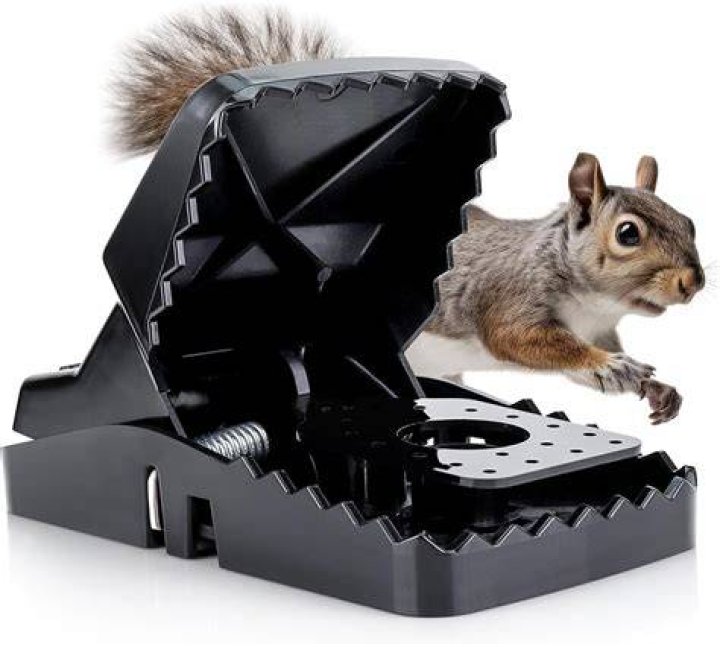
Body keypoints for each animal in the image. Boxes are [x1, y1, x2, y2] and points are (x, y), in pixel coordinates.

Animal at [406, 154, 704, 424]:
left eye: (689, 223)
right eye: (627, 233)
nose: (694, 281)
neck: (593, 309)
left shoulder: (598, 332)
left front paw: (657, 388)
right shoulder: (511, 294)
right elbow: (516, 336)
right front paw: (610, 364)